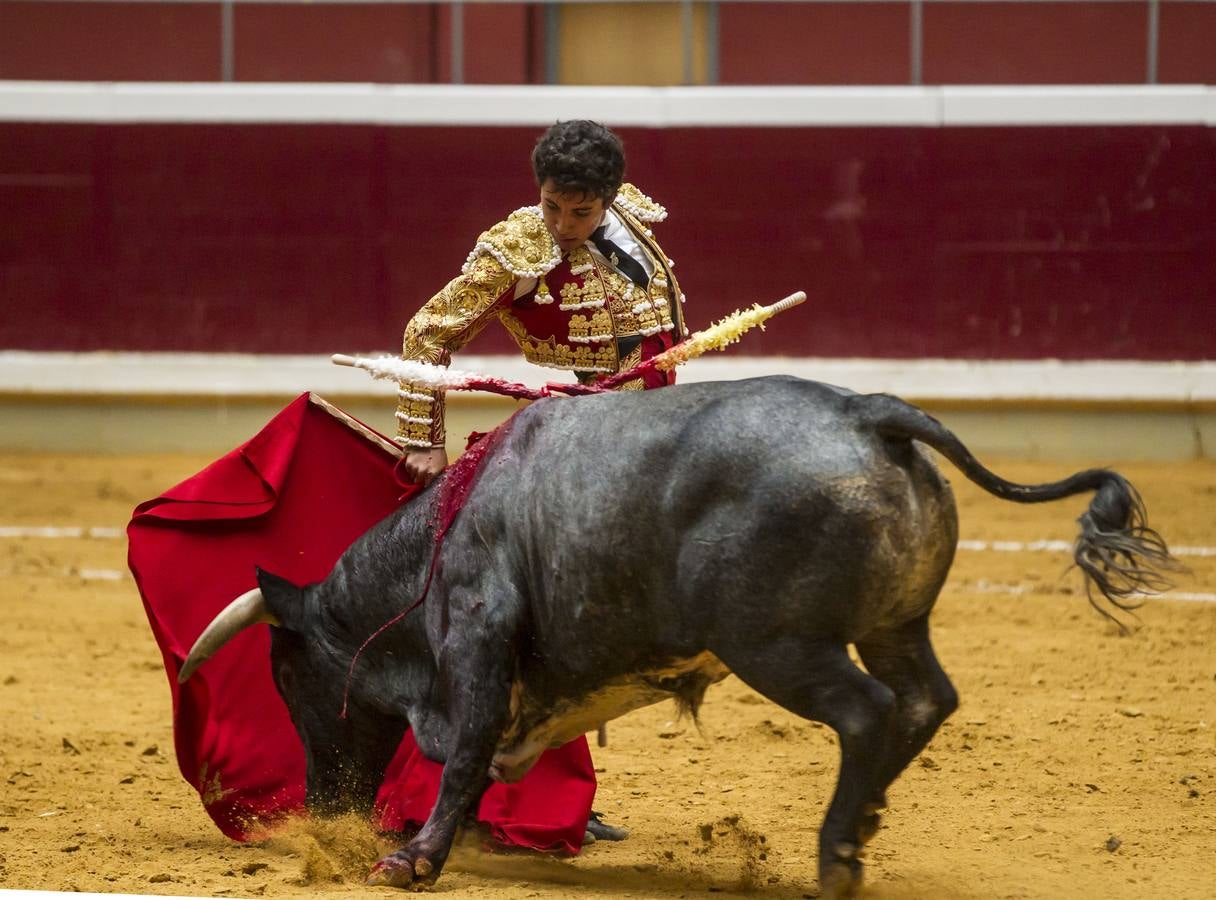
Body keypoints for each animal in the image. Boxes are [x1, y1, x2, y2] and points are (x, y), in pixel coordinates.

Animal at [176, 377, 1172, 895]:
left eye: (285, 674)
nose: (320, 809)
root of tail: (869, 412)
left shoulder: (478, 638)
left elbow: (462, 751)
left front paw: (412, 858)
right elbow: (485, 751)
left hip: (776, 643)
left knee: (867, 711)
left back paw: (836, 854)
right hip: (896, 623)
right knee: (925, 698)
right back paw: (862, 827)